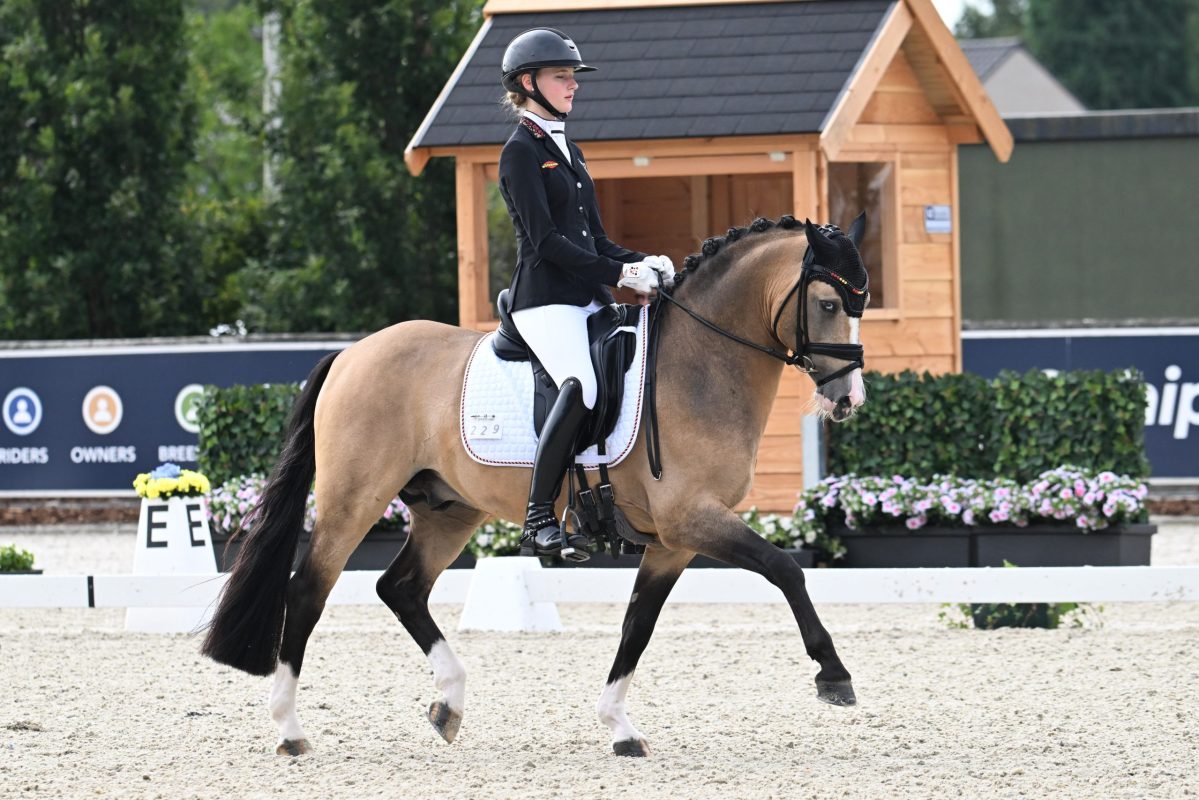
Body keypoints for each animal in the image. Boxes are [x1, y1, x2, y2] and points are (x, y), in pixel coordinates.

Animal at [201, 213, 871, 758]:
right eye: (829, 304)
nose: (848, 400)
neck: (701, 365)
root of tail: (351, 353)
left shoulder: (674, 540)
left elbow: (638, 623)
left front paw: (618, 726)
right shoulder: (691, 518)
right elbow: (785, 568)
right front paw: (834, 674)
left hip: (449, 510)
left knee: (401, 587)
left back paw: (449, 703)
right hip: (354, 499)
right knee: (308, 590)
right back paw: (290, 730)